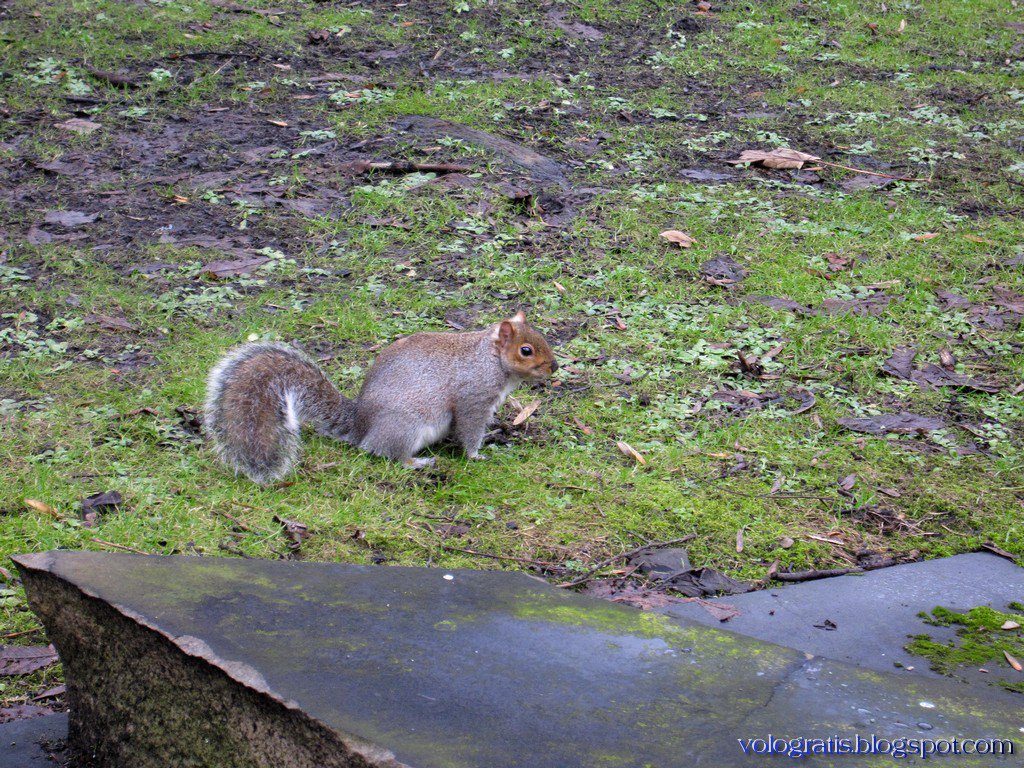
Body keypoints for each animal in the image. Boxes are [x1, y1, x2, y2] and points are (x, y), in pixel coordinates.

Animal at [203, 311, 558, 484]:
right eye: (526, 350)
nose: (553, 367)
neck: (490, 358)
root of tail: (361, 425)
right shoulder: (473, 397)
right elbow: (469, 429)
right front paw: (475, 455)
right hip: (406, 426)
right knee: (387, 453)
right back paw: (418, 461)